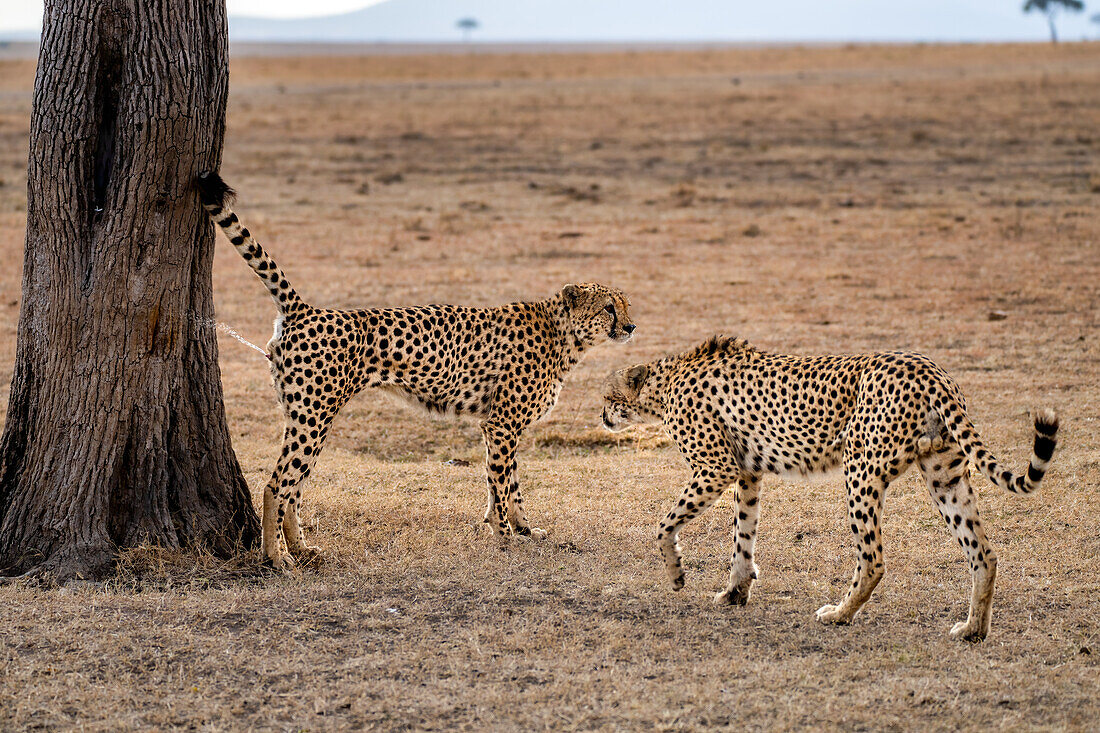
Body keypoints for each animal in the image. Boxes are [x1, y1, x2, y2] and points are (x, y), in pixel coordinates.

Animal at [193, 172, 633, 572]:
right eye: (608, 307)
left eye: (626, 304)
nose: (631, 327)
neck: (563, 334)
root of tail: (307, 310)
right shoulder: (502, 424)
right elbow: (503, 481)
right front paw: (506, 536)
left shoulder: (496, 425)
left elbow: (507, 483)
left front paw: (520, 528)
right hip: (313, 418)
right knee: (276, 485)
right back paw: (275, 557)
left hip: (304, 416)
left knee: (295, 488)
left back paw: (301, 549)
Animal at [602, 334, 1056, 638]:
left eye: (608, 396)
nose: (602, 416)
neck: (665, 383)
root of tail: (928, 368)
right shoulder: (748, 473)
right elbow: (742, 536)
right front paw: (735, 591)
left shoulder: (716, 468)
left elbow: (664, 525)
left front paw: (677, 574)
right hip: (944, 476)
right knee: (984, 553)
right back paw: (973, 630)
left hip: (860, 470)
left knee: (873, 560)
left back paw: (840, 614)